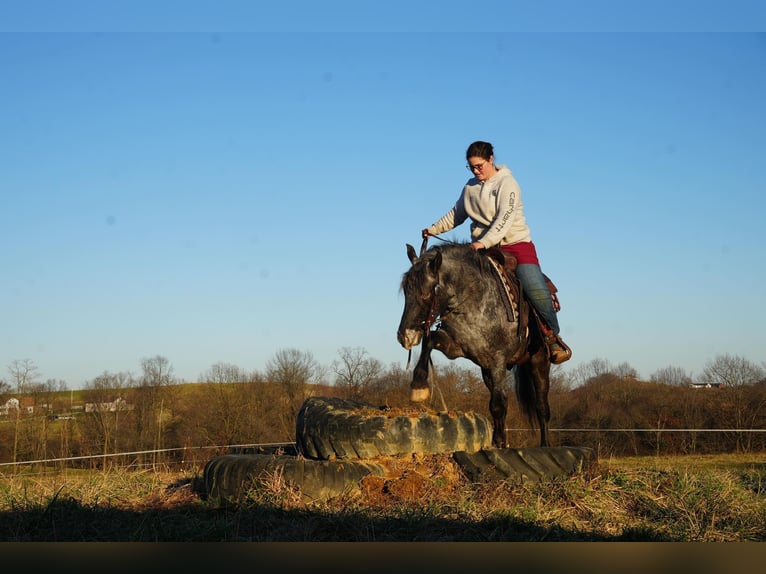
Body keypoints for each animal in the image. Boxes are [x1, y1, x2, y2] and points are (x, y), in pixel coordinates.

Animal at [402, 243, 552, 450]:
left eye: (426, 293)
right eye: (405, 291)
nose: (404, 336)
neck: (474, 301)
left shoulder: (498, 360)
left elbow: (498, 404)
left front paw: (500, 441)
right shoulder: (454, 347)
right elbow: (429, 340)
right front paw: (419, 385)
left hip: (539, 361)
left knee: (541, 406)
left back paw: (545, 444)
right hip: (487, 370)